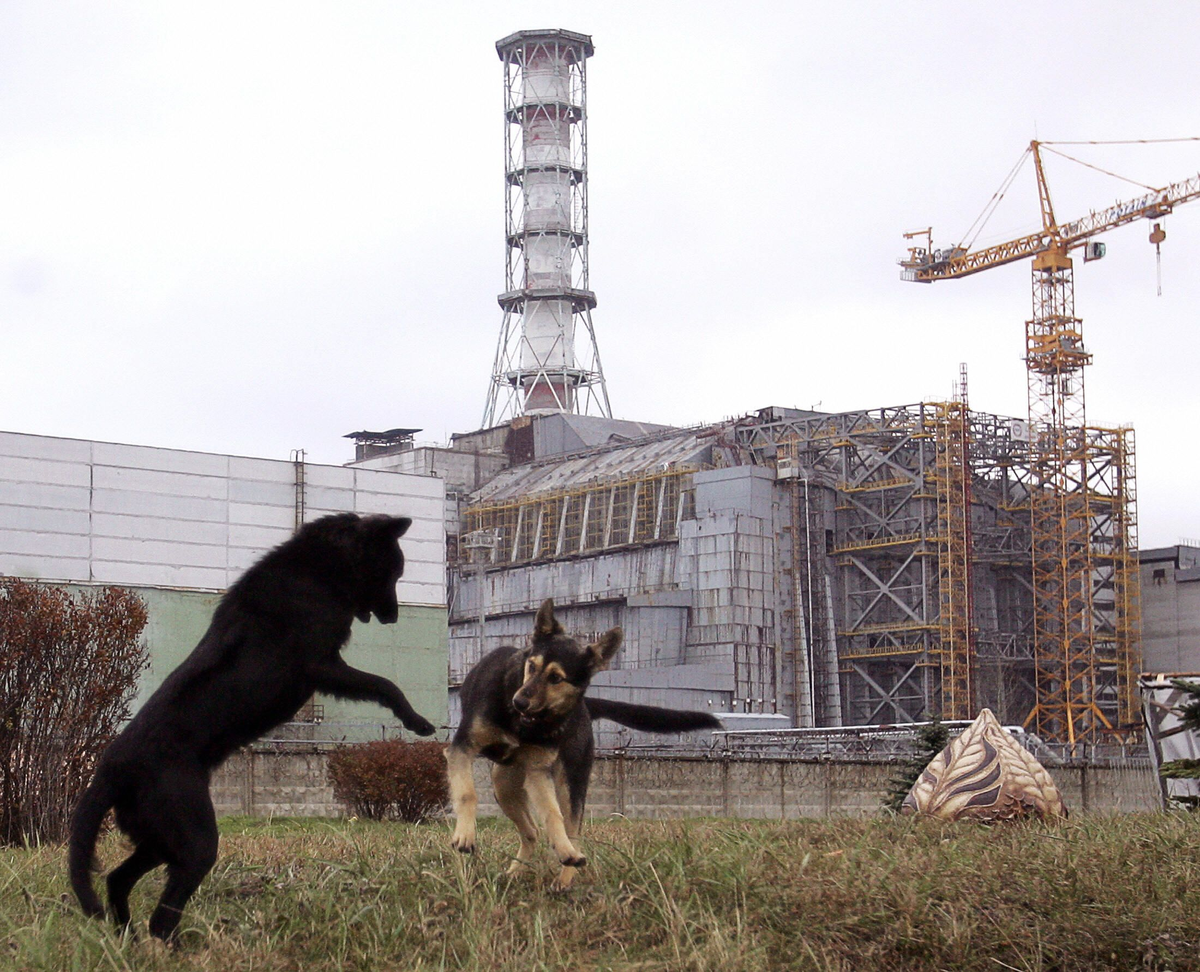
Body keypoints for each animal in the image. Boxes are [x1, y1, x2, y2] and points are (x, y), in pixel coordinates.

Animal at [66, 511, 436, 936]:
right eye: (393, 572)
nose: (393, 616)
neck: (319, 570)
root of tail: (111, 769)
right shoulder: (322, 665)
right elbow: (384, 684)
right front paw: (418, 721)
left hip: (159, 839)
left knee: (117, 879)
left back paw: (128, 938)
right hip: (194, 838)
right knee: (162, 915)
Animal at [446, 595, 715, 888]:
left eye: (556, 678)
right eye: (532, 666)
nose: (519, 702)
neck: (524, 724)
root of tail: (585, 708)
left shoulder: (538, 771)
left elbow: (553, 815)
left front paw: (564, 850)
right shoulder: (461, 749)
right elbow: (467, 793)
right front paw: (465, 836)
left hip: (569, 779)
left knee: (569, 828)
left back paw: (565, 870)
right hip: (503, 783)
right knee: (531, 831)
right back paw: (515, 871)